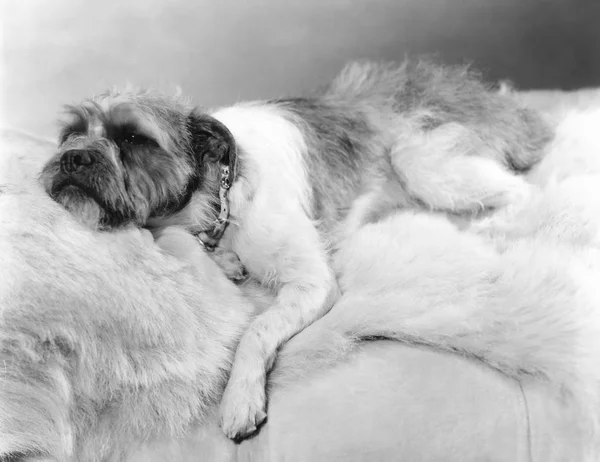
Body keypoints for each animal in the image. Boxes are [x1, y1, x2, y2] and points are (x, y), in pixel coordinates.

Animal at [38, 58, 552, 440]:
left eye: (132, 138)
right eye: (69, 133)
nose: (72, 157)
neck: (221, 192)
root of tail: (491, 96)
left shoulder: (312, 283)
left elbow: (256, 329)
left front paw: (239, 396)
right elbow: (184, 244)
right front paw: (223, 261)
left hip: (423, 162)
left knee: (522, 192)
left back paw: (493, 227)